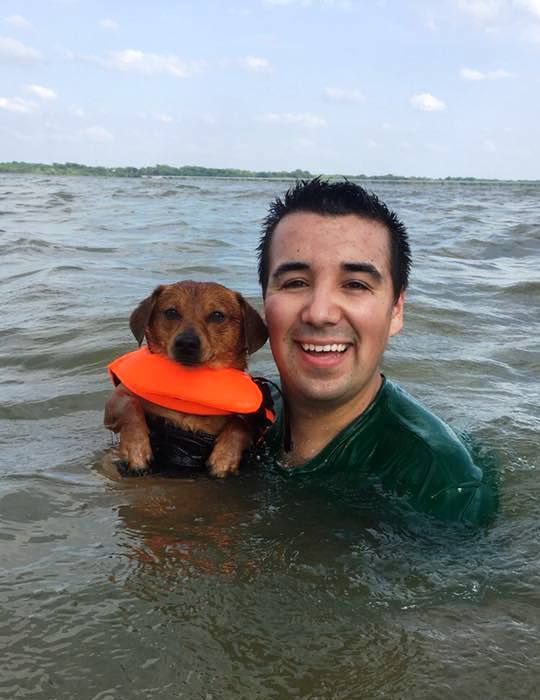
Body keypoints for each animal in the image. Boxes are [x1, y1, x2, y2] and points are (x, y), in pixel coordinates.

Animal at [103, 282, 268, 478]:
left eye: (217, 315)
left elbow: (239, 424)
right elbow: (131, 407)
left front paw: (225, 456)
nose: (186, 343)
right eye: (171, 312)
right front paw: (136, 448)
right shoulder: (117, 399)